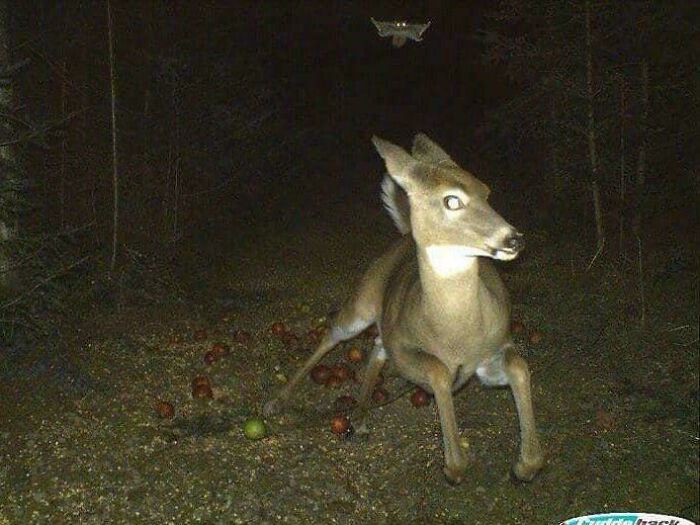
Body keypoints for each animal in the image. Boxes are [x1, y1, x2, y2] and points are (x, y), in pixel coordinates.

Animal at [263, 133, 544, 484]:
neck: (455, 334)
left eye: (486, 191)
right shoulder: (405, 350)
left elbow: (519, 366)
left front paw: (525, 465)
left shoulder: (494, 349)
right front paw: (454, 465)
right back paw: (277, 402)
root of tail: (405, 236)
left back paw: (360, 413)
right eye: (452, 200)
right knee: (334, 334)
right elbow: (438, 371)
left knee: (375, 346)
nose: (514, 239)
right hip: (363, 299)